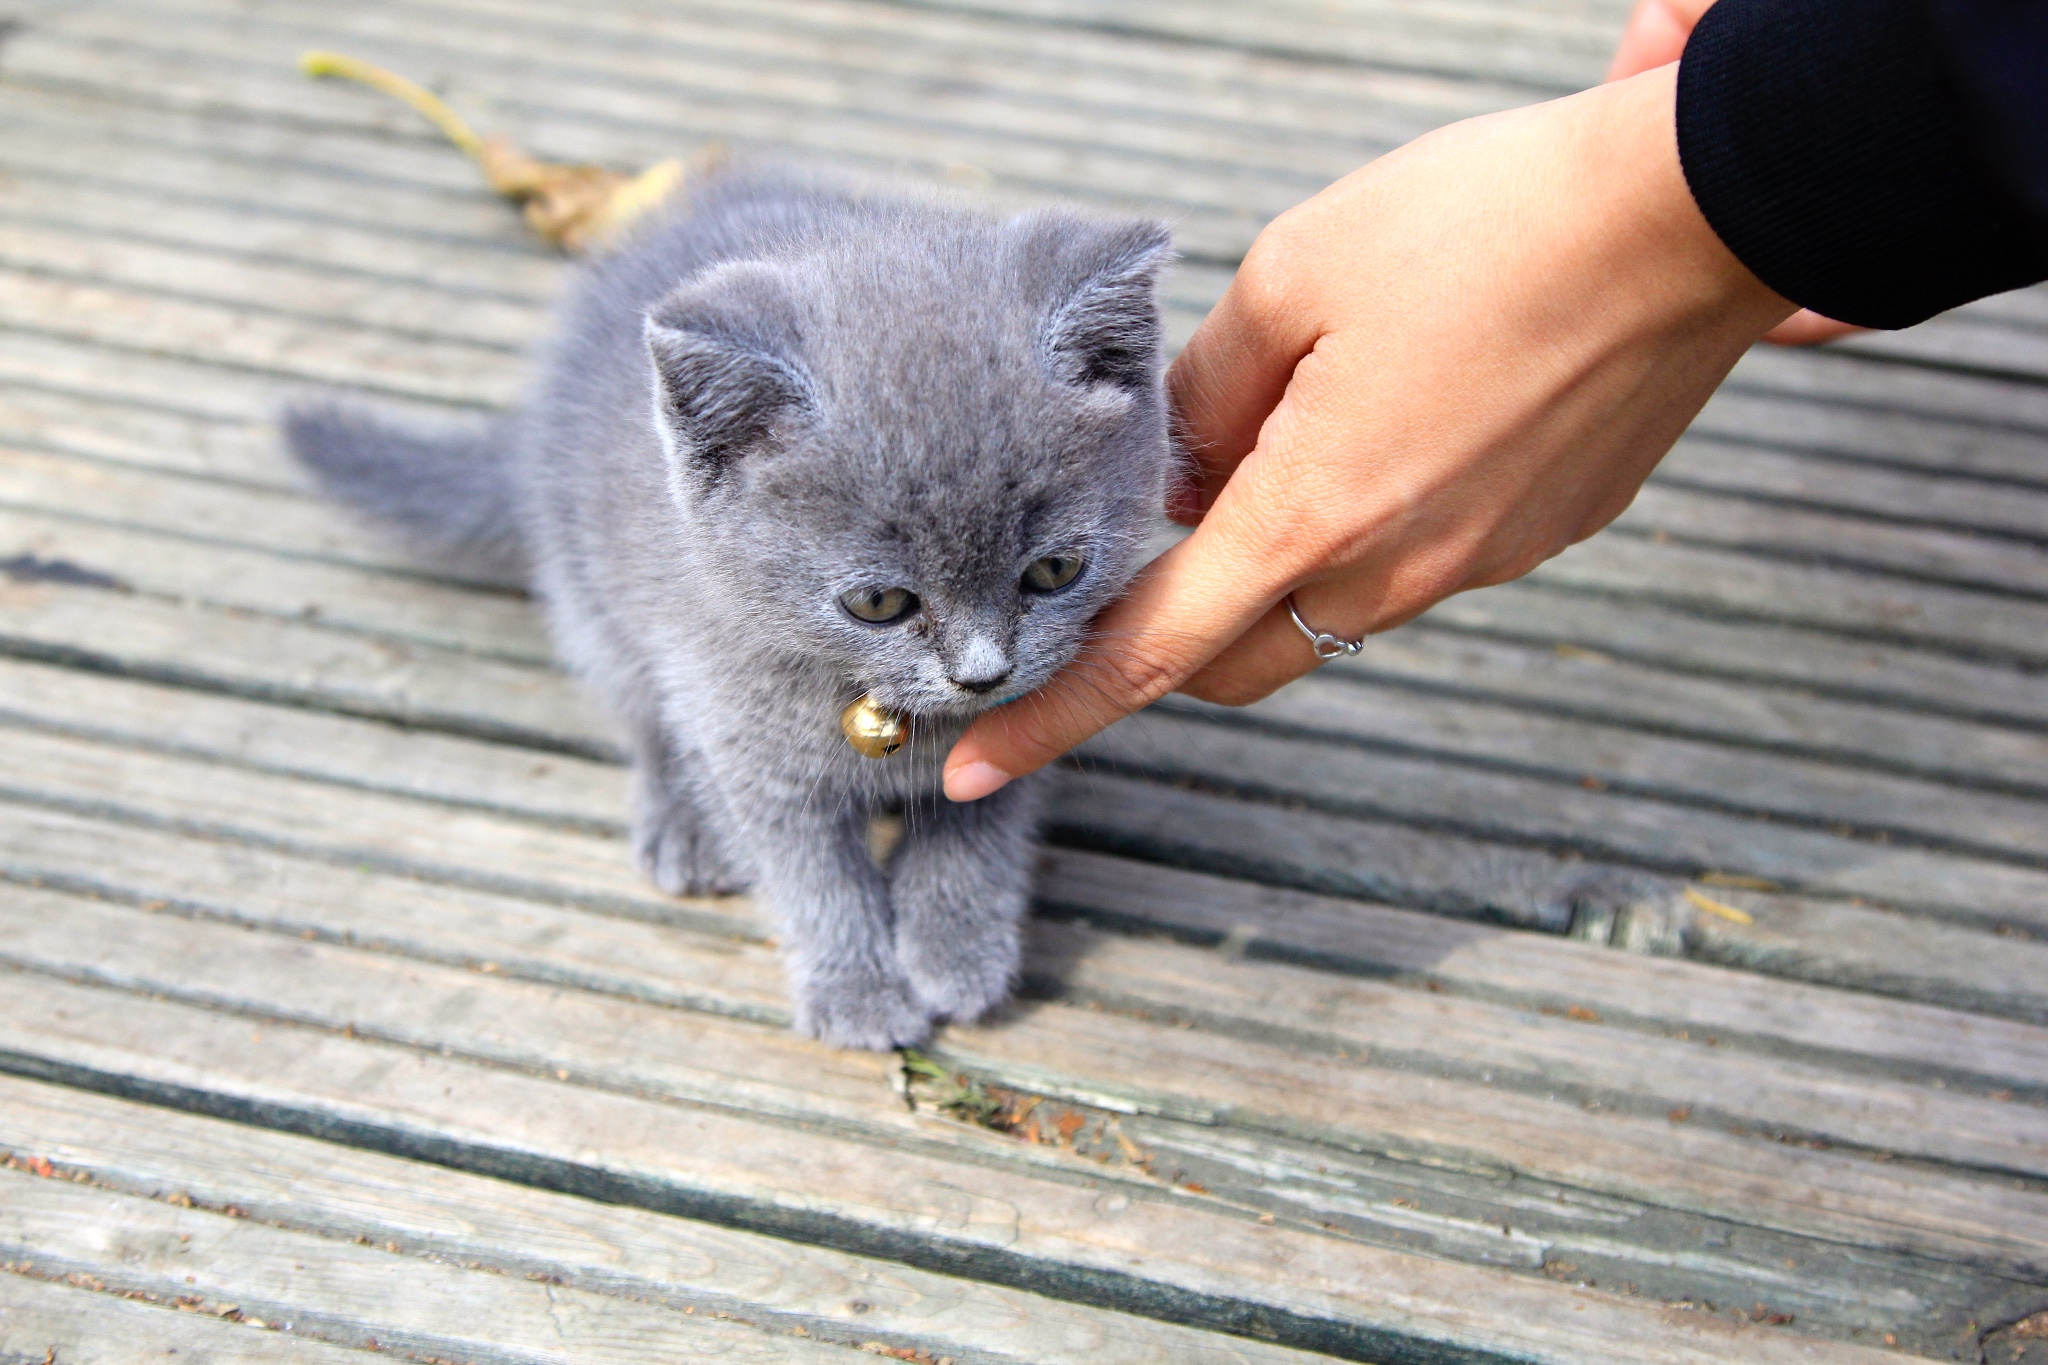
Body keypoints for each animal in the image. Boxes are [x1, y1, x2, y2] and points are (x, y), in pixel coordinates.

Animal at [294, 167, 1179, 1047]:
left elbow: (976, 830)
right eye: (880, 601)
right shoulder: (748, 746)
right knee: (643, 719)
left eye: (1055, 570)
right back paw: (681, 825)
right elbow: (813, 881)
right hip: (594, 604)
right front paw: (858, 992)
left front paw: (955, 950)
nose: (982, 674)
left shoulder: (1025, 724)